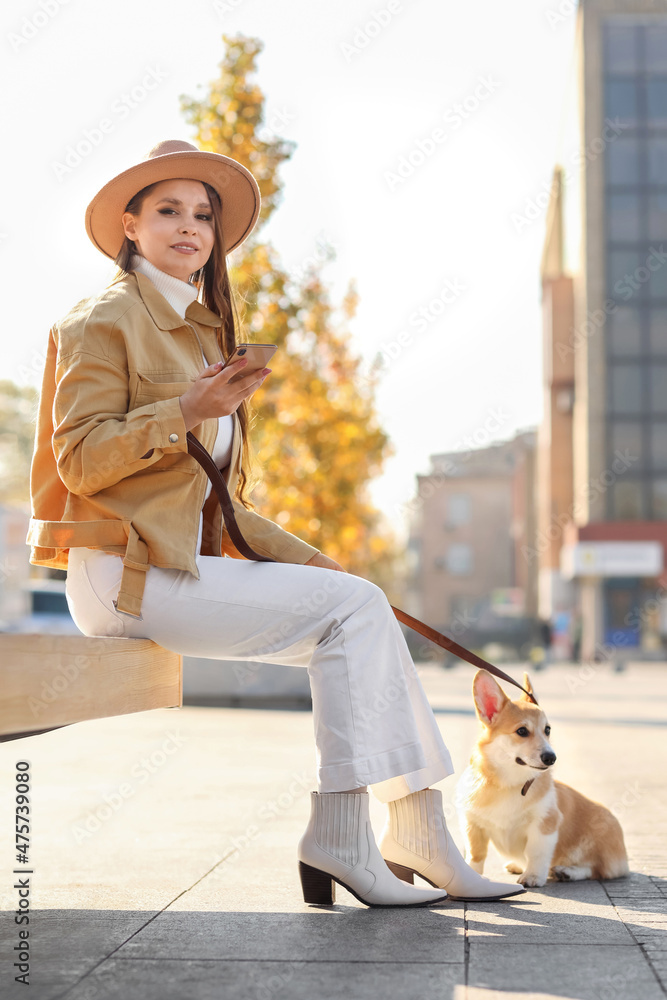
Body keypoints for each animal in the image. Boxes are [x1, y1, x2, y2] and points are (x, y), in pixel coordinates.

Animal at [456, 668, 628, 888]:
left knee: (597, 869)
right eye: (522, 731)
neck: (509, 783)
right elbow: (475, 854)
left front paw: (532, 877)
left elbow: (536, 852)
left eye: (547, 730)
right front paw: (473, 877)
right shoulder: (472, 823)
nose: (551, 757)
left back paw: (567, 872)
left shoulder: (545, 822)